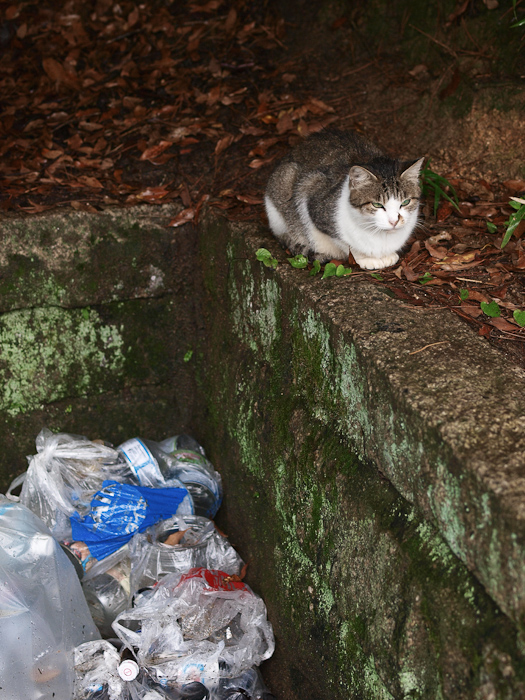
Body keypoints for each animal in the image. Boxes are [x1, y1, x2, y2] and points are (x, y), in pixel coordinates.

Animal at [264, 127, 424, 270]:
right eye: (377, 205)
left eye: (405, 202)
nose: (394, 221)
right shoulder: (311, 193)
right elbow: (345, 244)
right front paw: (365, 258)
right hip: (284, 184)